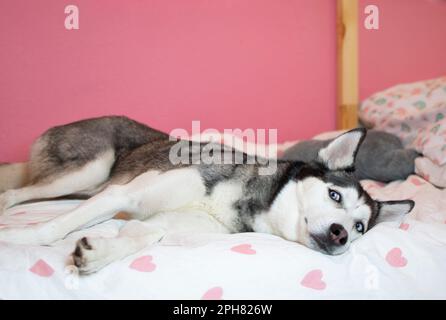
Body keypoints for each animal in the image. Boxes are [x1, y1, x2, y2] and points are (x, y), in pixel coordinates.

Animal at [0, 116, 414, 274]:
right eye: (334, 196)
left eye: (360, 227)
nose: (341, 235)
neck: (241, 199)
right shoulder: (119, 196)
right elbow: (49, 230)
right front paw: (16, 239)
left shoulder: (153, 223)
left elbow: (142, 237)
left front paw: (98, 253)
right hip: (92, 171)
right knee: (18, 192)